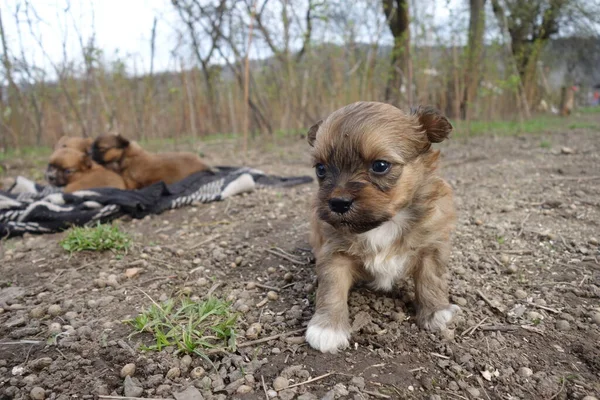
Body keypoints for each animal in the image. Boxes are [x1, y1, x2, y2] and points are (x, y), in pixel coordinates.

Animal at [304, 101, 460, 354]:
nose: (338, 203)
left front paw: (436, 312)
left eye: (380, 165)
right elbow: (331, 288)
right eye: (320, 169)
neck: (385, 224)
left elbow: (431, 279)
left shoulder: (431, 246)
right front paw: (328, 327)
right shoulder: (334, 252)